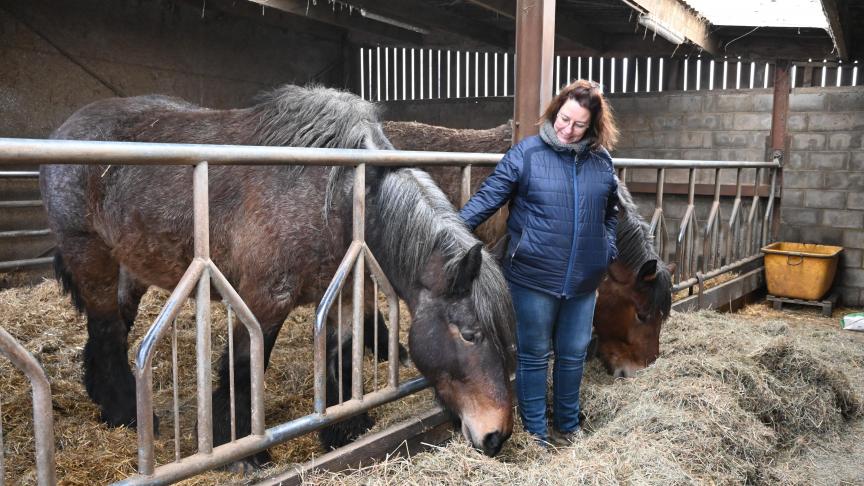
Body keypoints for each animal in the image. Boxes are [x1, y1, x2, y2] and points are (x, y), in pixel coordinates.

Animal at [39, 85, 516, 468]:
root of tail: (65, 129)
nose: (497, 435)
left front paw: (346, 431)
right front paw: (240, 450)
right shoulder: (262, 302)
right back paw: (124, 413)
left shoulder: (344, 294)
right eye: (470, 334)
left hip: (129, 267)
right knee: (106, 329)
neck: (339, 197)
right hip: (90, 254)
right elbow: (244, 367)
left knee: (111, 330)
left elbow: (341, 360)